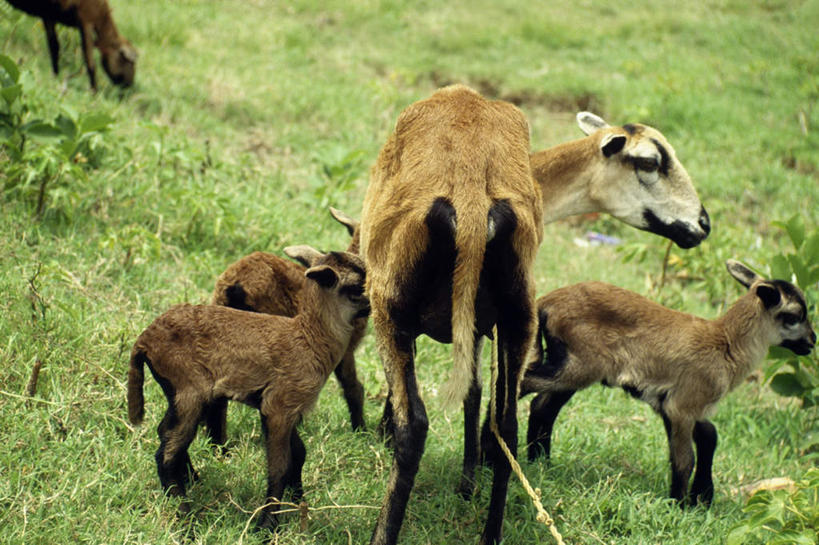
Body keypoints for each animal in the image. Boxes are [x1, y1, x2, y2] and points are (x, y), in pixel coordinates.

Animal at [5, 0, 136, 90]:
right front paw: (94, 92)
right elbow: (90, 62)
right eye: (130, 62)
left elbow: (54, 47)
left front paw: (55, 77)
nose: (130, 85)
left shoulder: (49, 15)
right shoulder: (86, 21)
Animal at [126, 246, 370, 532]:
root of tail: (143, 341)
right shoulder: (279, 405)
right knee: (167, 453)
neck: (309, 338)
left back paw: (193, 481)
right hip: (187, 387)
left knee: (166, 434)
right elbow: (279, 466)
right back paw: (186, 519)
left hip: (179, 392)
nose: (375, 305)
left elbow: (299, 454)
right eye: (357, 286)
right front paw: (267, 526)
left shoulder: (284, 408)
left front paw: (299, 503)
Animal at [520, 262, 812, 504]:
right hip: (579, 364)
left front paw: (701, 498)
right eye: (793, 316)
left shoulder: (681, 405)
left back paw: (540, 463)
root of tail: (546, 302)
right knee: (524, 384)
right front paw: (680, 504)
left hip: (573, 367)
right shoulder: (682, 405)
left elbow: (709, 436)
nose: (812, 341)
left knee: (542, 407)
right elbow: (685, 458)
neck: (726, 344)